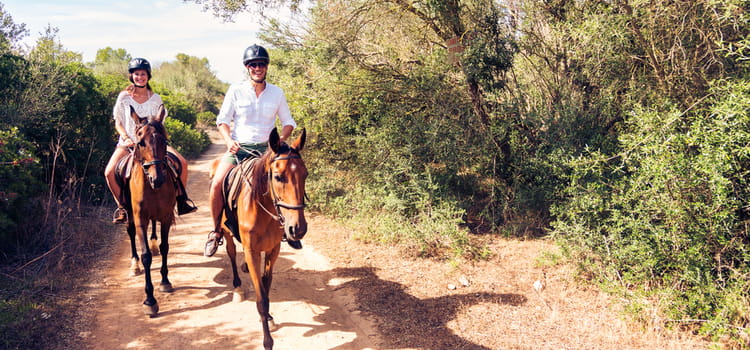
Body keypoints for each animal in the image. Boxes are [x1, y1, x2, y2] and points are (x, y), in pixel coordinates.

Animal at [123, 105, 178, 316]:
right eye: (140, 143)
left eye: (165, 141)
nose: (157, 179)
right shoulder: (140, 219)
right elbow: (145, 255)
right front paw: (150, 300)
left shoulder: (166, 216)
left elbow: (165, 247)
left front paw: (165, 281)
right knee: (130, 233)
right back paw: (134, 265)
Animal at [216, 127, 310, 348]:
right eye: (278, 176)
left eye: (305, 175)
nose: (298, 229)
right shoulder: (252, 251)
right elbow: (261, 299)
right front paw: (267, 341)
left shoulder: (273, 249)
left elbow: (266, 287)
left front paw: (268, 318)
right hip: (226, 233)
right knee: (231, 254)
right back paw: (237, 288)